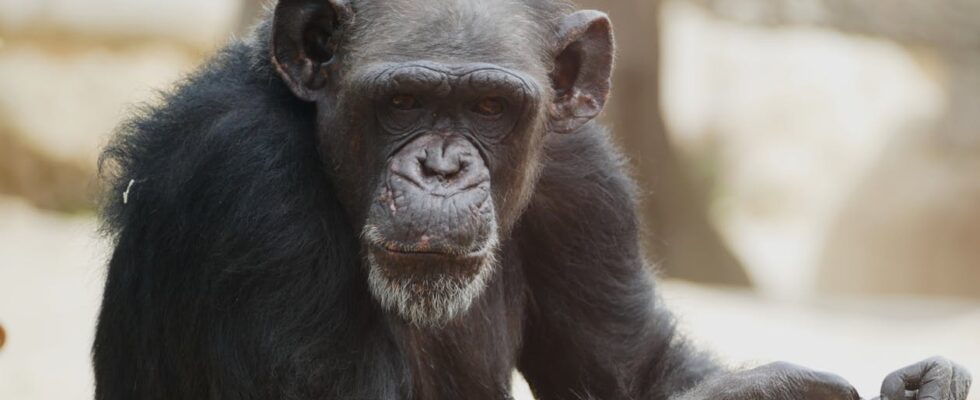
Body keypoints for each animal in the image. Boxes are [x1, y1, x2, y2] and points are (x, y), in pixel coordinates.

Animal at [94, 0, 972, 400]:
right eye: (402, 100)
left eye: (489, 107)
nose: (442, 167)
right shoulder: (248, 189)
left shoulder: (587, 182)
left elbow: (635, 371)